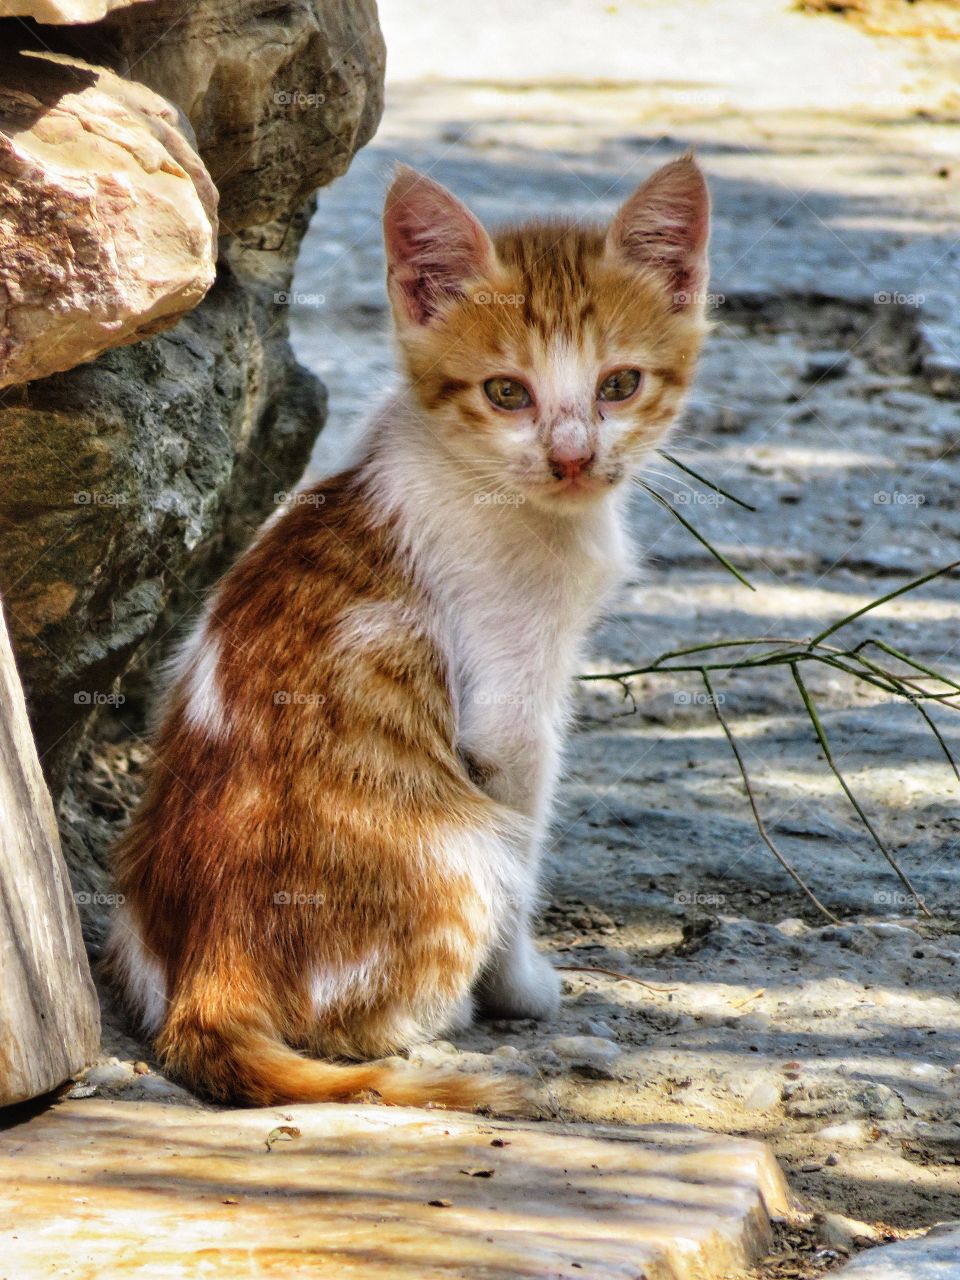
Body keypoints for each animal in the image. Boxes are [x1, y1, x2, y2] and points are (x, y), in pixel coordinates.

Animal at [104, 152, 711, 1111]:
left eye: (620, 384)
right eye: (507, 392)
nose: (572, 458)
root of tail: (210, 975)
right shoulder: (509, 711)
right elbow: (530, 828)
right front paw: (521, 984)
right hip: (464, 846)